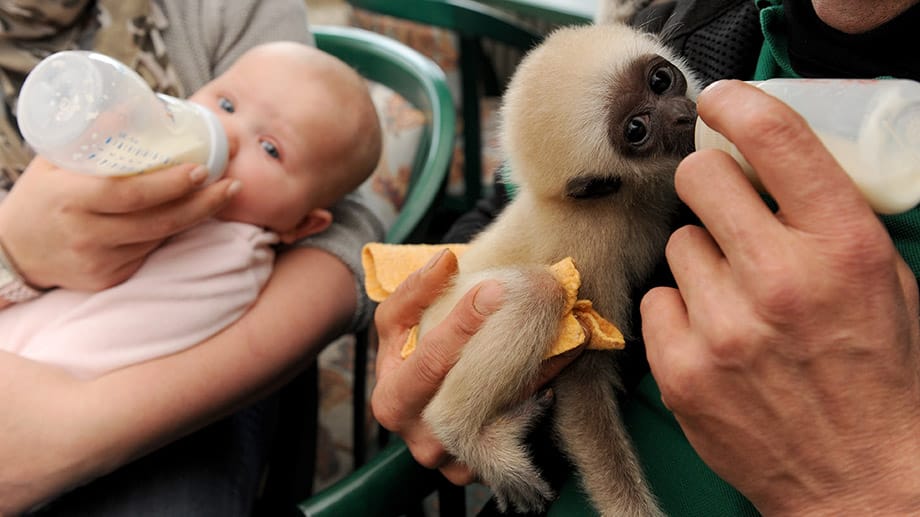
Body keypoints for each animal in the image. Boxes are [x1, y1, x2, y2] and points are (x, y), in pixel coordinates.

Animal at [416, 22, 696, 512]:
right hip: (446, 316)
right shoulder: (593, 248)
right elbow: (585, 387)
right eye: (637, 129)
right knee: (539, 291)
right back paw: (460, 431)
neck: (621, 200)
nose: (683, 115)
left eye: (661, 81)